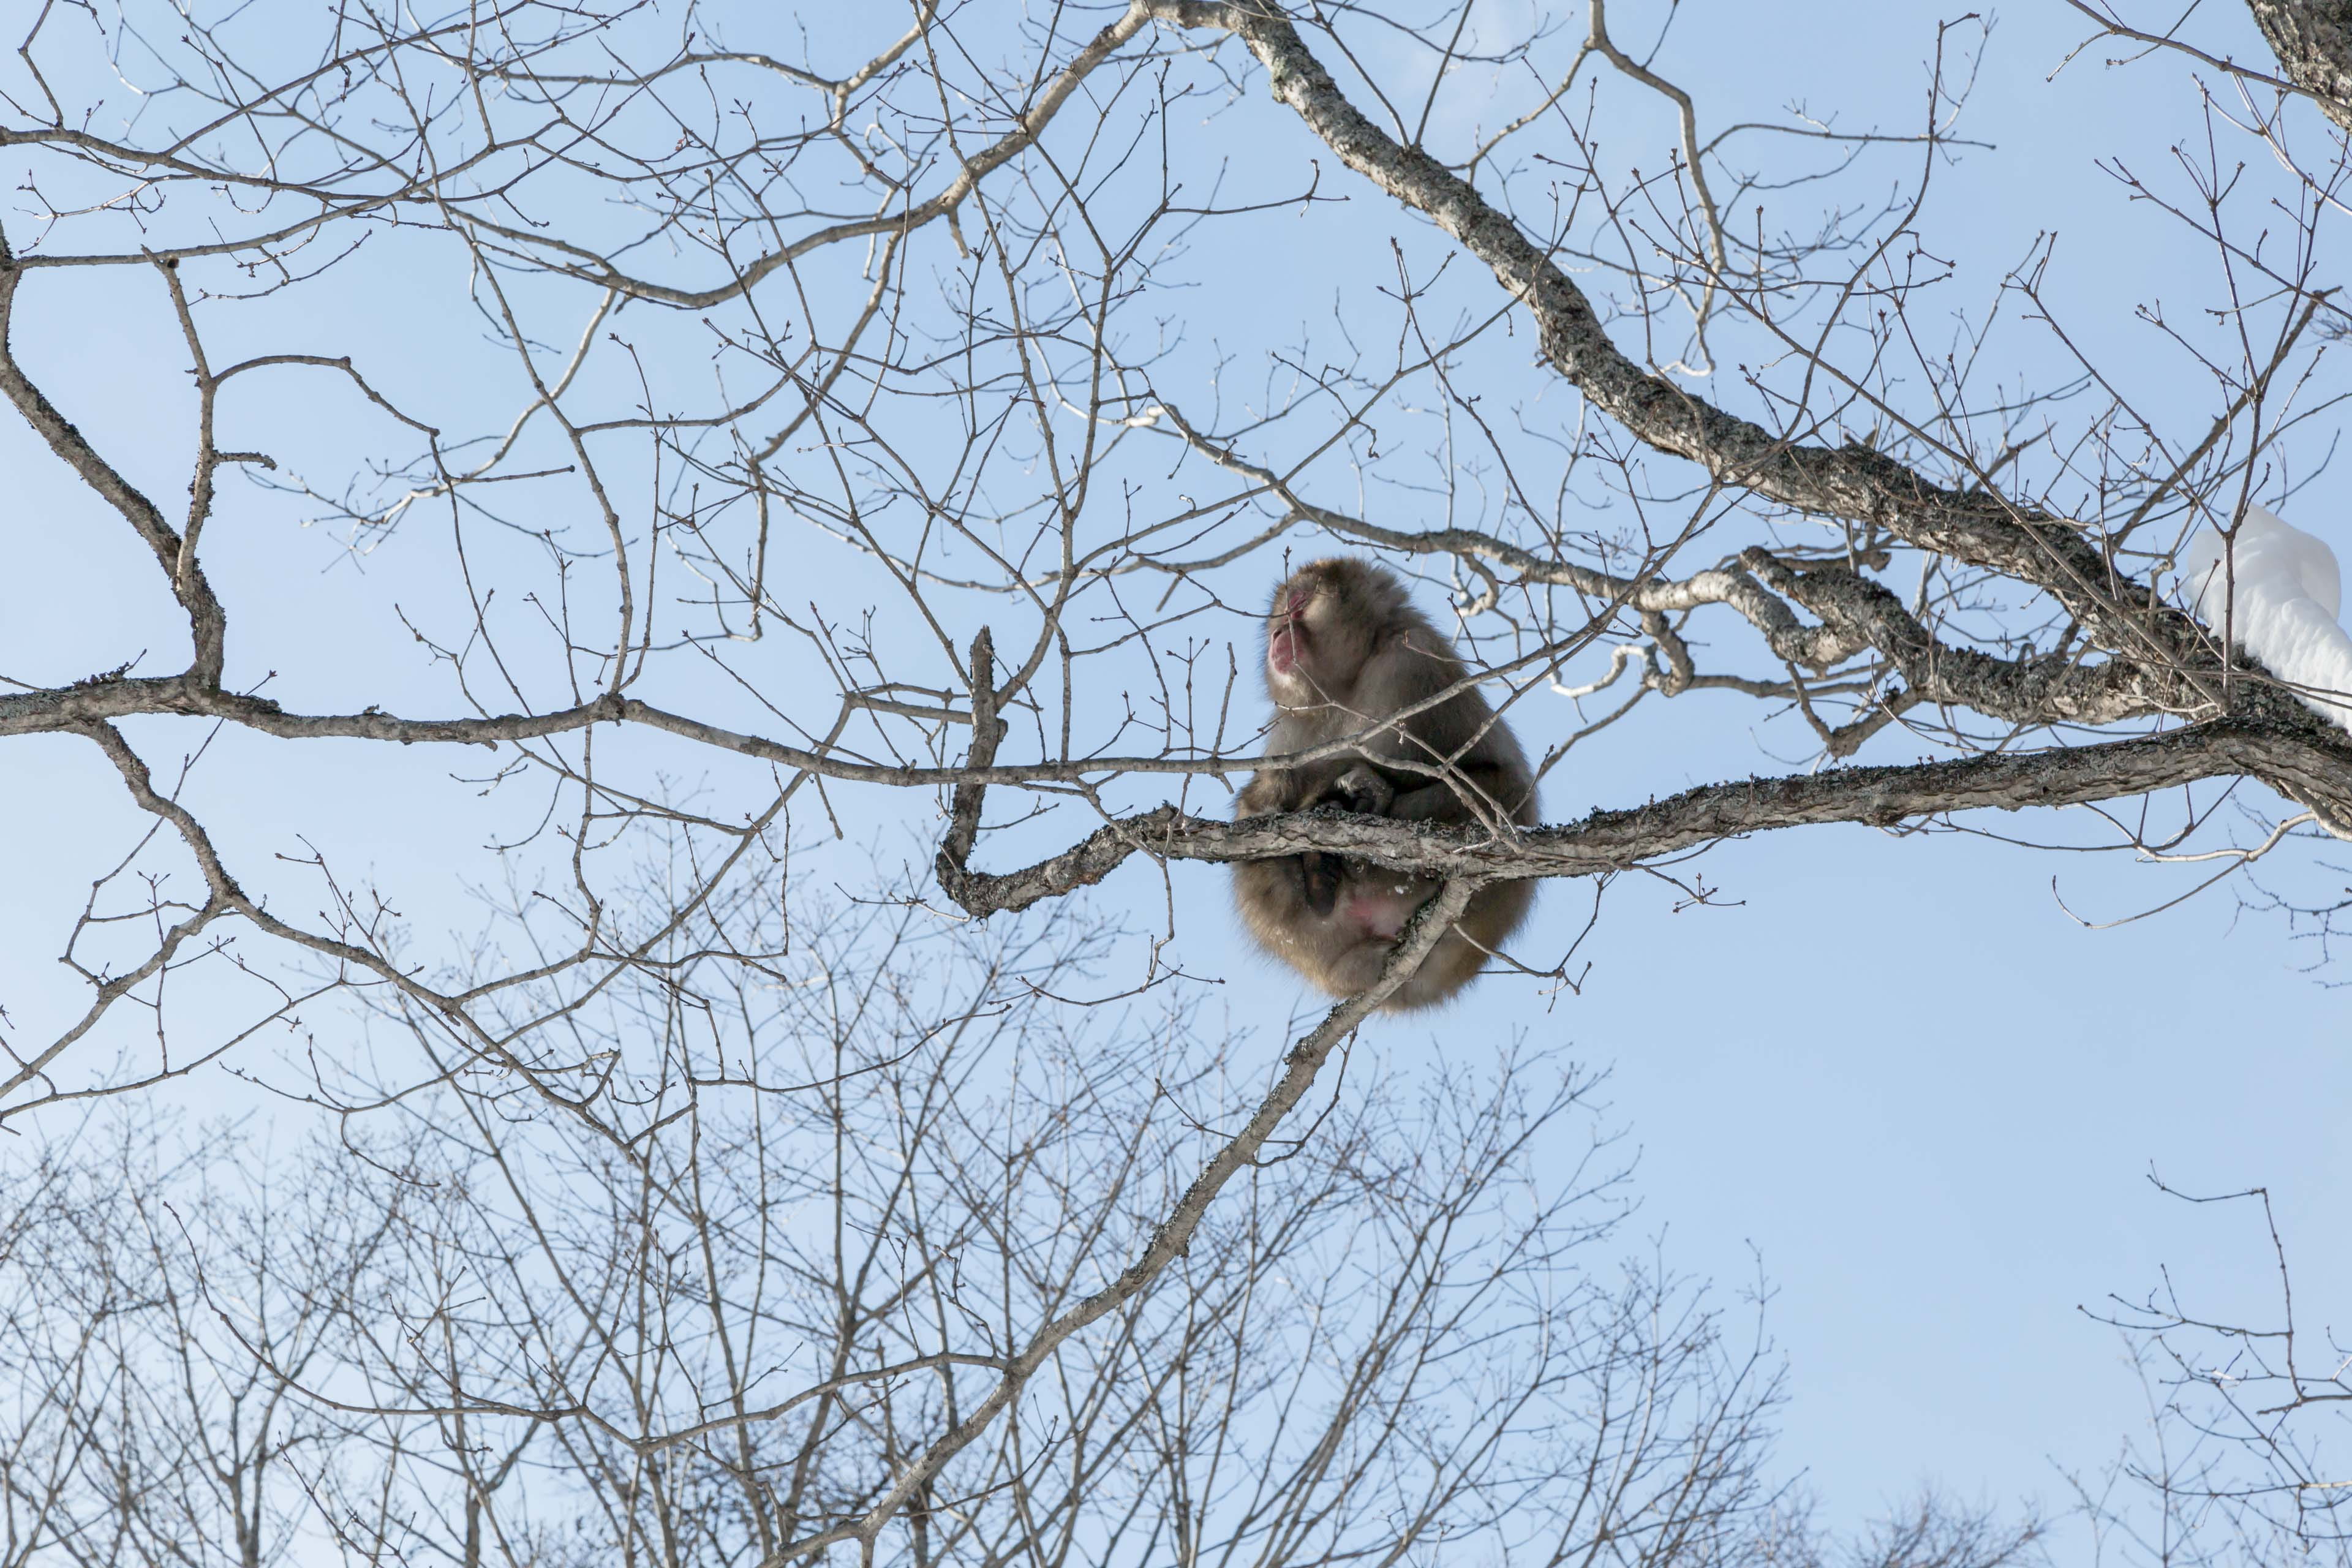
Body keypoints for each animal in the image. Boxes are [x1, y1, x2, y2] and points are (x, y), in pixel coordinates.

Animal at [1232, 557, 1538, 1011]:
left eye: (1299, 604)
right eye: (1279, 614)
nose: (1276, 633)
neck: (1349, 681)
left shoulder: (1410, 663)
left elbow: (1481, 779)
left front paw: (1358, 787)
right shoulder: (1291, 723)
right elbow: (1254, 812)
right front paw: (1282, 794)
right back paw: (1321, 882)